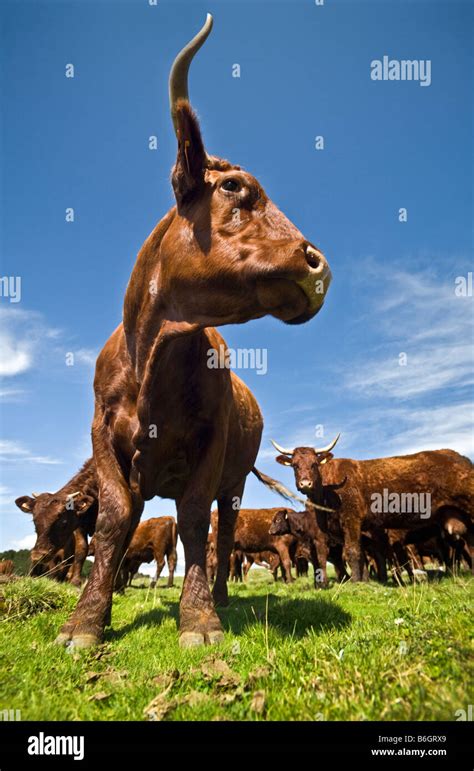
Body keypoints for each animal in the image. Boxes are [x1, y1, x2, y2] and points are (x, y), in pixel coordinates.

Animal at [55, 12, 330, 652]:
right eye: (234, 189)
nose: (320, 266)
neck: (153, 360)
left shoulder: (211, 445)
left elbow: (196, 518)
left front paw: (200, 619)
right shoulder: (103, 439)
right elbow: (113, 521)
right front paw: (86, 621)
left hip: (236, 477)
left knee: (223, 528)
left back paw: (224, 597)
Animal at [270, 438, 474, 584]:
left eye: (314, 464)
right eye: (295, 465)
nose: (305, 483)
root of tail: (459, 457)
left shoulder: (351, 520)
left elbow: (352, 552)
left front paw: (356, 582)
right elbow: (360, 554)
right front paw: (365, 580)